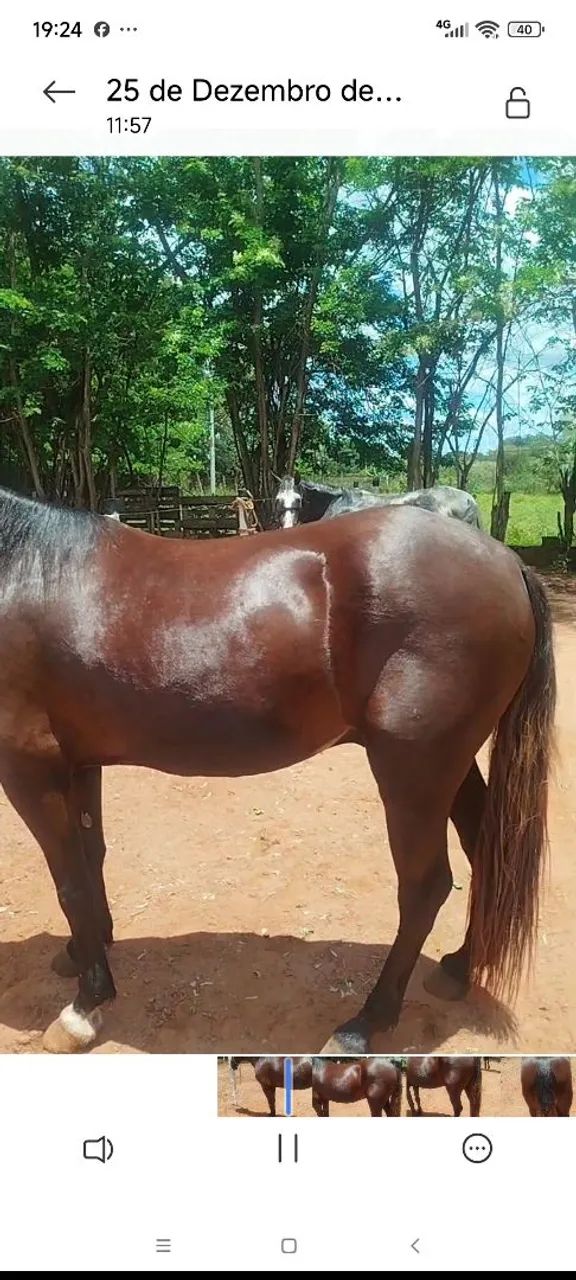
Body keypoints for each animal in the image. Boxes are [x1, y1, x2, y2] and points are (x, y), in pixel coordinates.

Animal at [0, 486, 555, 1055]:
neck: (23, 572)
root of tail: (506, 561)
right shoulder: (79, 762)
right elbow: (90, 860)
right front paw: (83, 950)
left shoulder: (28, 768)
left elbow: (69, 881)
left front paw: (84, 1007)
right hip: (450, 765)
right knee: (485, 850)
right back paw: (458, 968)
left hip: (415, 771)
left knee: (425, 887)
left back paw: (363, 1023)